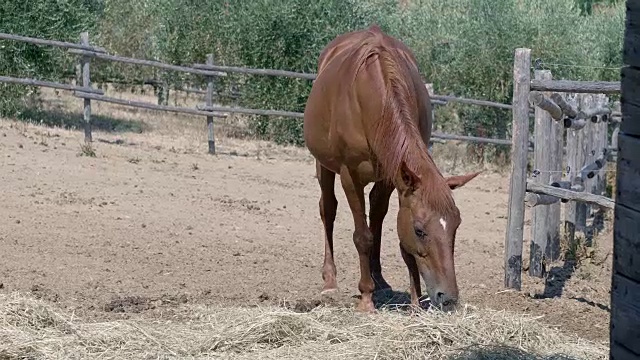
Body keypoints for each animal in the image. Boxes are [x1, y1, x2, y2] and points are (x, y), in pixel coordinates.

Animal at [302, 25, 478, 312]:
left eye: (456, 226)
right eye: (420, 230)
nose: (448, 298)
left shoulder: (392, 174)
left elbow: (384, 230)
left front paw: (411, 297)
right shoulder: (350, 176)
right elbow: (362, 235)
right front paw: (366, 297)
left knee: (376, 216)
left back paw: (379, 279)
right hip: (323, 165)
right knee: (328, 209)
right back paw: (330, 281)